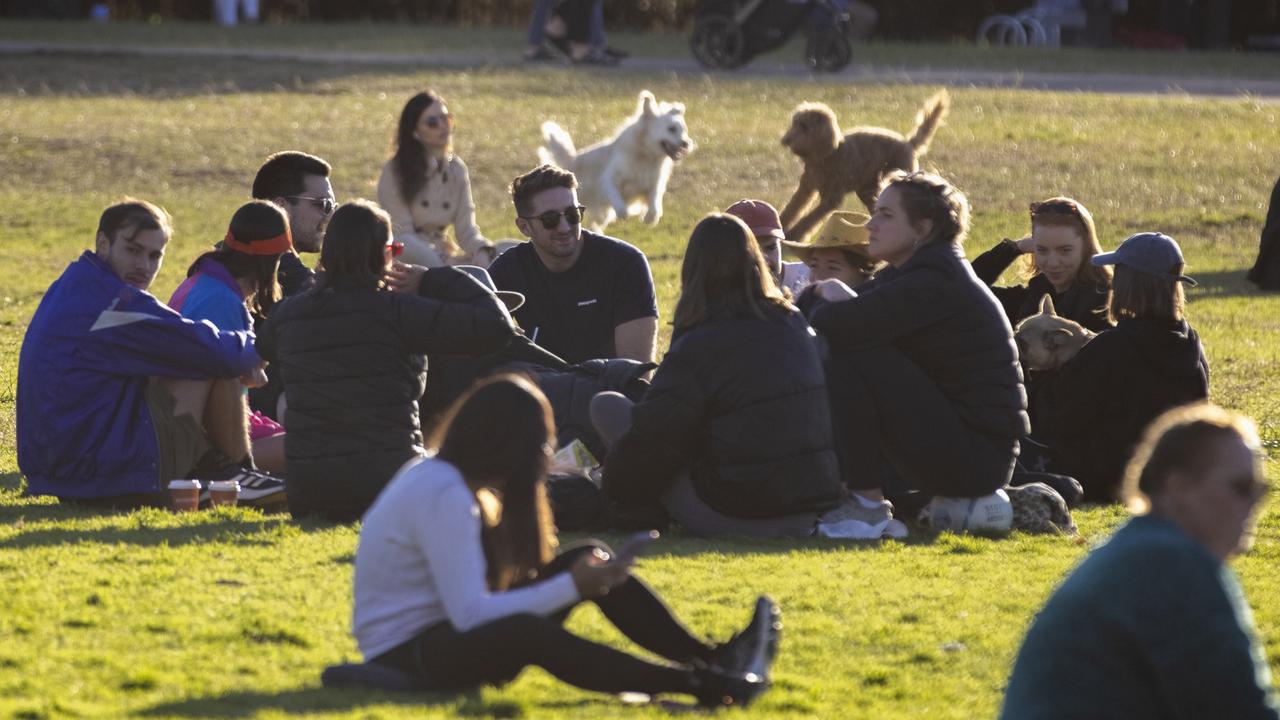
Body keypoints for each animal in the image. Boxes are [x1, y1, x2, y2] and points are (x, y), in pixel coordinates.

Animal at [537, 89, 696, 229]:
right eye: (671, 129)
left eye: (684, 130)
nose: (686, 143)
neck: (644, 155)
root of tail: (572, 161)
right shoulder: (610, 179)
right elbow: (618, 201)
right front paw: (623, 213)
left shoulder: (654, 184)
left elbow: (654, 204)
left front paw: (649, 218)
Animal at [778, 88, 952, 240]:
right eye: (794, 123)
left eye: (804, 127)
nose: (784, 140)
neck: (827, 155)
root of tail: (908, 144)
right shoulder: (806, 188)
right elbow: (793, 207)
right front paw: (781, 224)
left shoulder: (831, 199)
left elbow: (810, 219)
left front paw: (794, 235)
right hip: (868, 190)